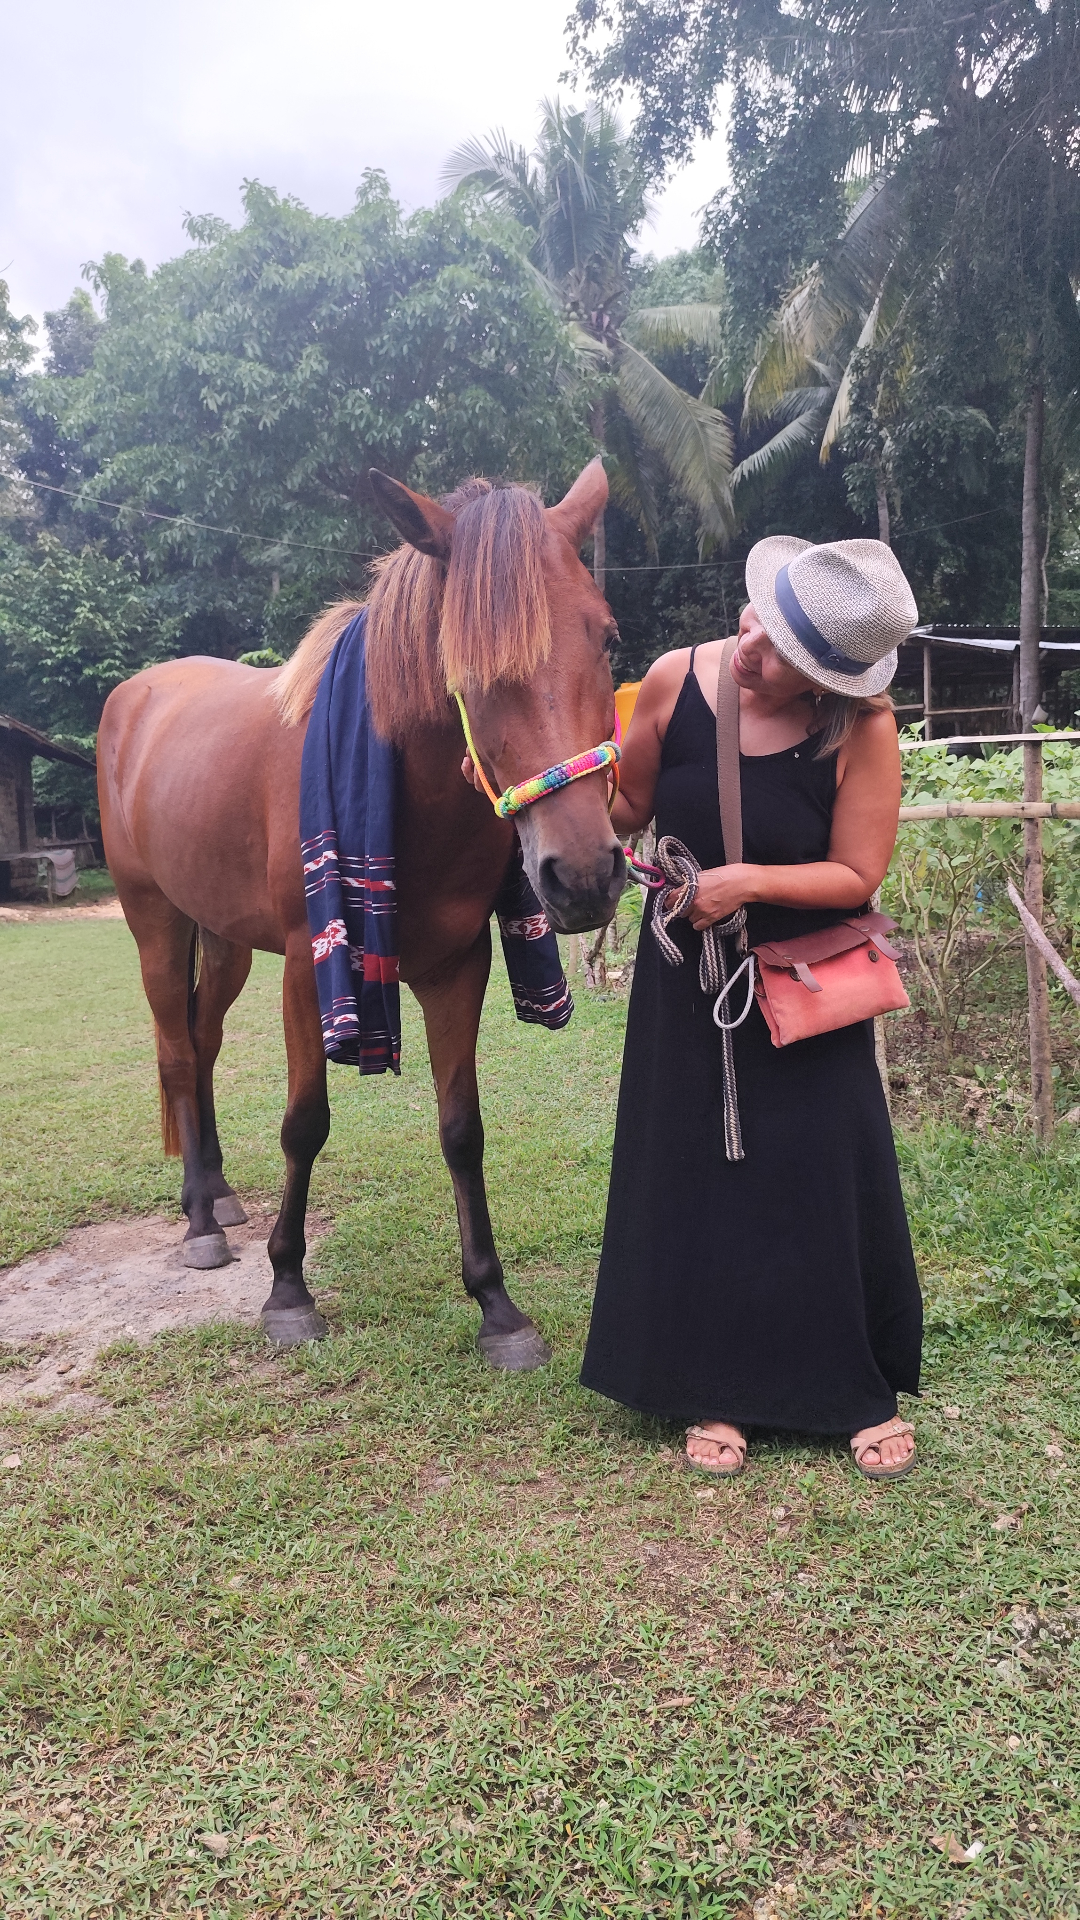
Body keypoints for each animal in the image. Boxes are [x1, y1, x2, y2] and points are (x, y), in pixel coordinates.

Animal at [96, 459, 624, 1368]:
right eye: (465, 666)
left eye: (609, 639)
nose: (584, 874)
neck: (414, 802)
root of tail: (136, 695)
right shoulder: (316, 968)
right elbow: (304, 1124)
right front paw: (287, 1290)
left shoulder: (457, 967)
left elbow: (462, 1129)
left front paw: (496, 1305)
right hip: (154, 920)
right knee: (174, 1051)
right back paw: (200, 1223)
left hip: (224, 940)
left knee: (202, 1045)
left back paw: (219, 1194)